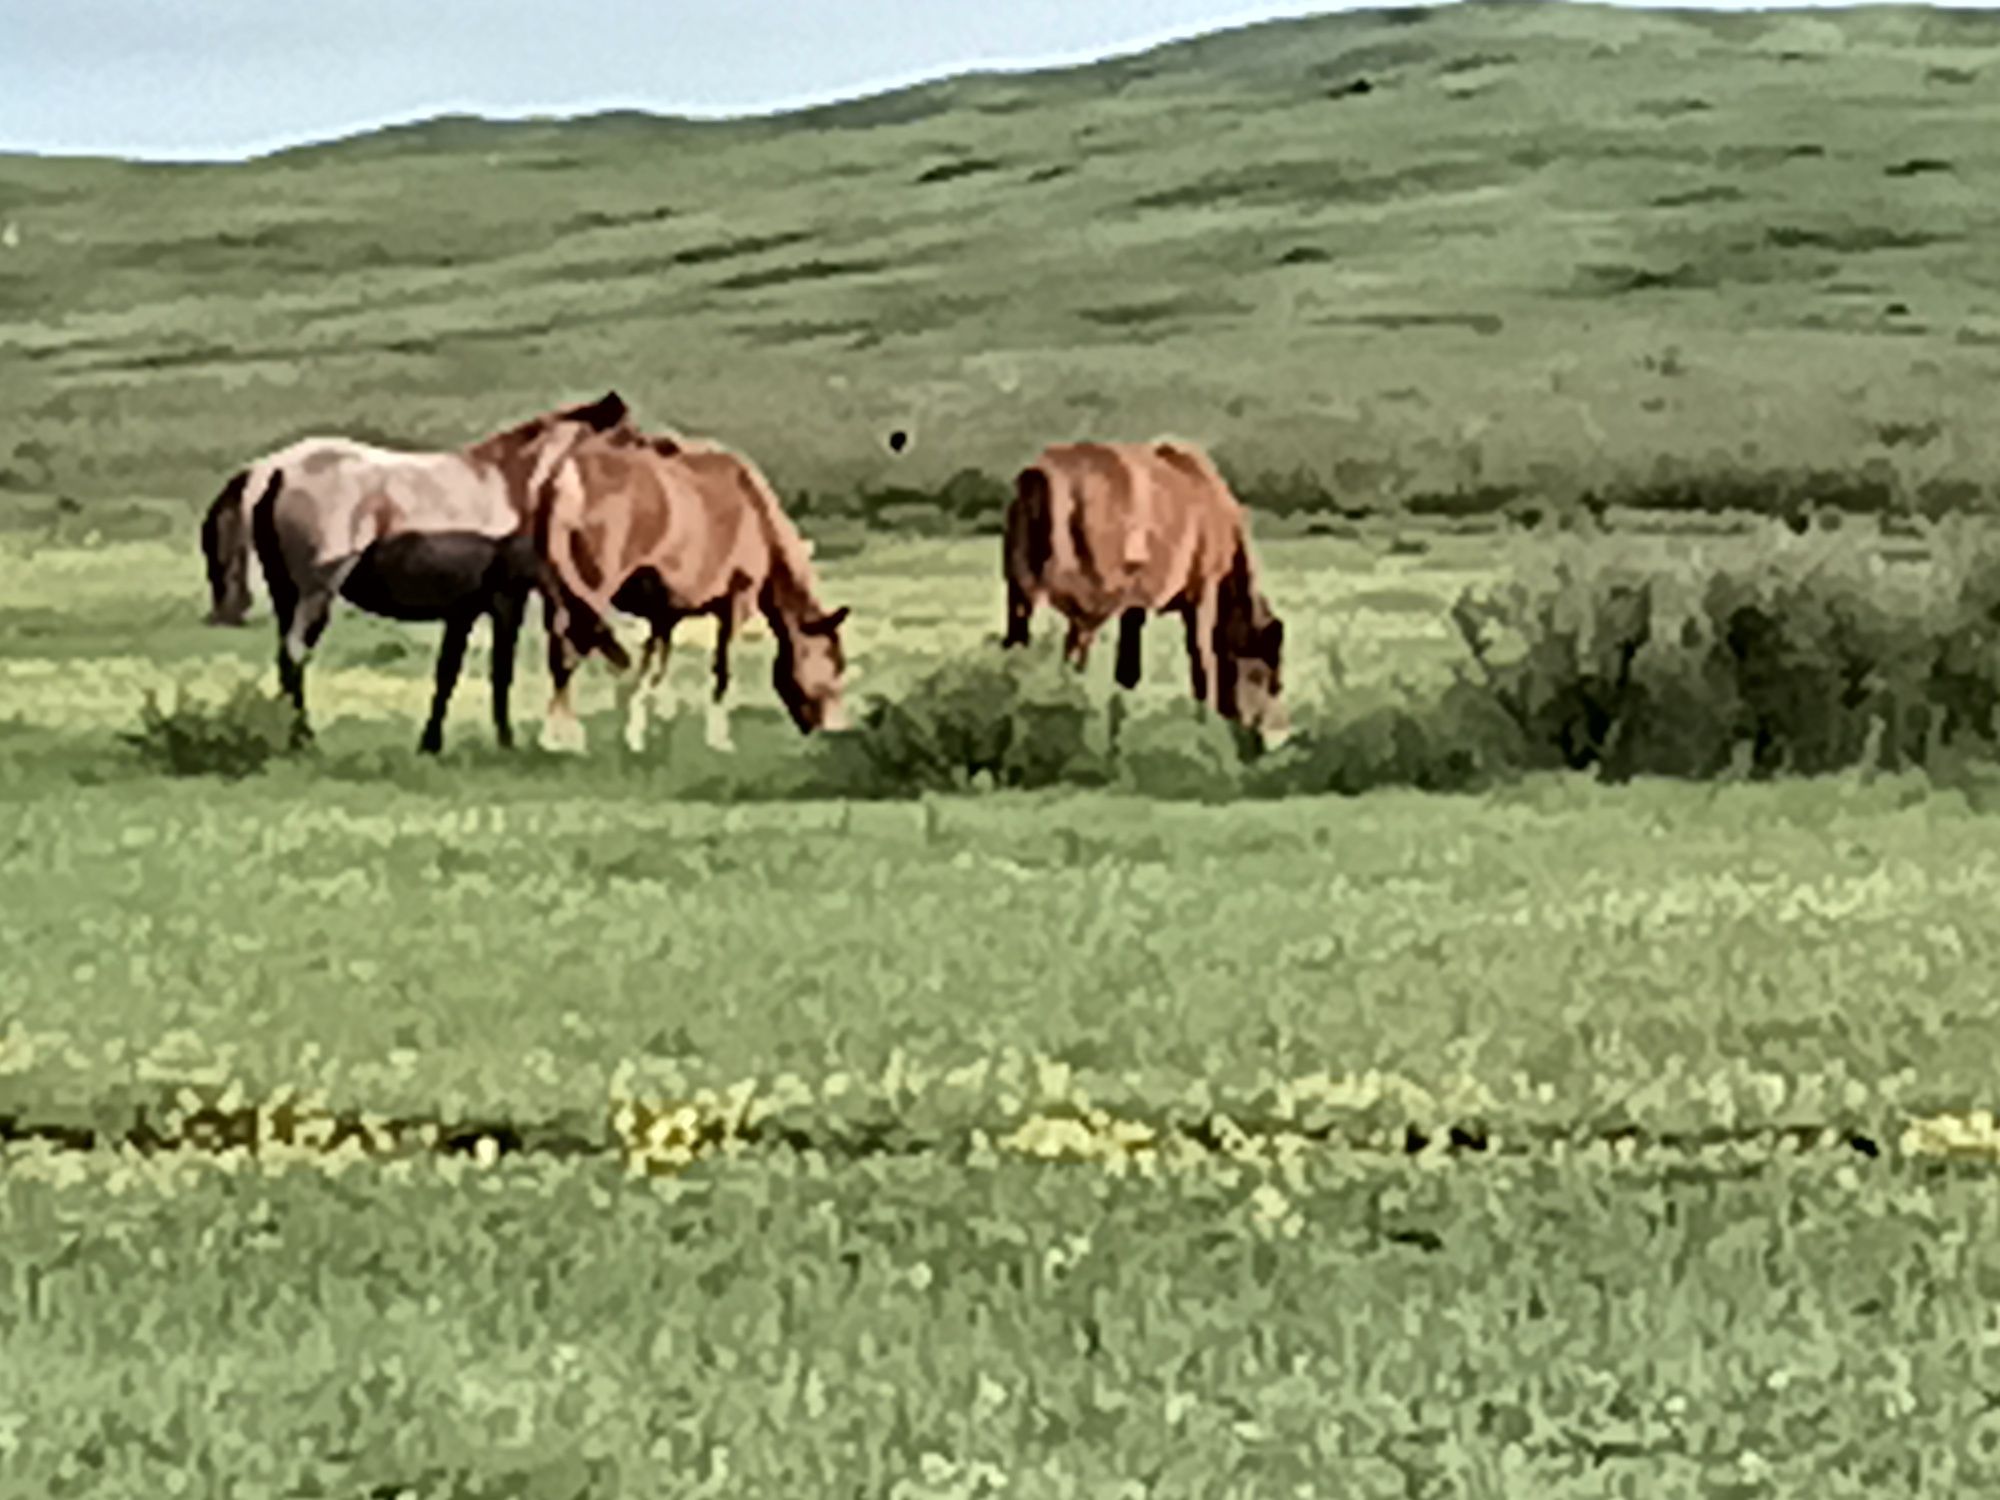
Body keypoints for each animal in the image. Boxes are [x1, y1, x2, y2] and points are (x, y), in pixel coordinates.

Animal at [532, 432, 852, 764]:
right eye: (834, 661)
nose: (833, 726)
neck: (756, 511)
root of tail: (566, 476)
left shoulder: (664, 616)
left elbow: (653, 668)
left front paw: (639, 733)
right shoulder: (737, 603)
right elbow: (721, 669)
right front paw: (718, 738)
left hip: (557, 594)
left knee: (560, 650)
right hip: (592, 592)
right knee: (571, 649)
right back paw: (562, 739)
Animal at [1000, 438, 1296, 744]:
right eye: (1268, 679)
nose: (1273, 735)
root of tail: (1039, 476)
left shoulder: (1134, 605)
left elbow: (1128, 668)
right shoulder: (1203, 591)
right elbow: (1202, 660)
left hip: (1020, 597)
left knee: (1015, 652)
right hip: (1091, 604)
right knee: (1073, 658)